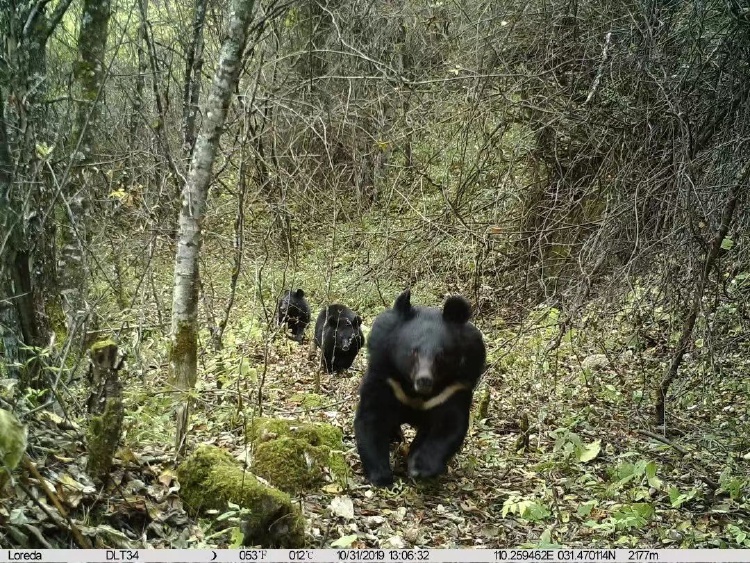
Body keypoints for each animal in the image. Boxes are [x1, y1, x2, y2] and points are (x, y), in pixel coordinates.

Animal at [354, 288, 488, 486]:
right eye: (413, 351)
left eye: (441, 355)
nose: (424, 380)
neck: (416, 392)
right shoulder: (385, 378)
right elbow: (372, 417)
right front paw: (382, 476)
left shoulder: (454, 388)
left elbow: (448, 425)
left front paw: (420, 468)